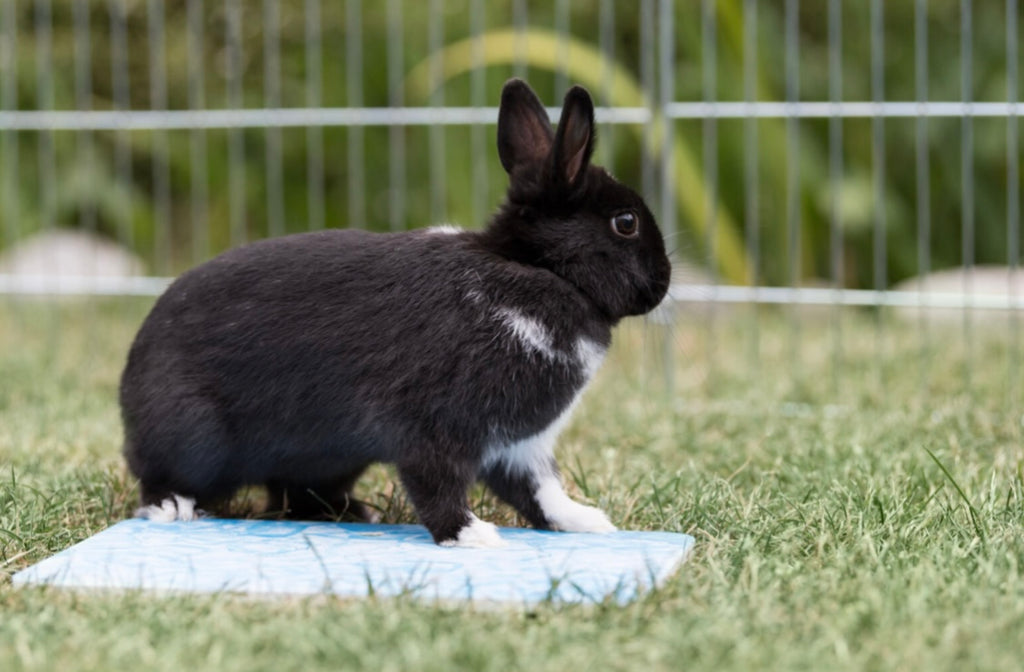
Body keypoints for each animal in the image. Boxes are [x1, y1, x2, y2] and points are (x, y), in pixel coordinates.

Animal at [119, 78, 672, 548]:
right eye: (625, 223)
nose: (664, 281)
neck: (537, 270)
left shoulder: (521, 446)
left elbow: (542, 491)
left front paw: (588, 522)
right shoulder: (434, 429)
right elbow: (438, 484)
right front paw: (471, 536)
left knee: (293, 494)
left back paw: (354, 513)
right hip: (193, 437)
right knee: (160, 479)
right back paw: (173, 507)